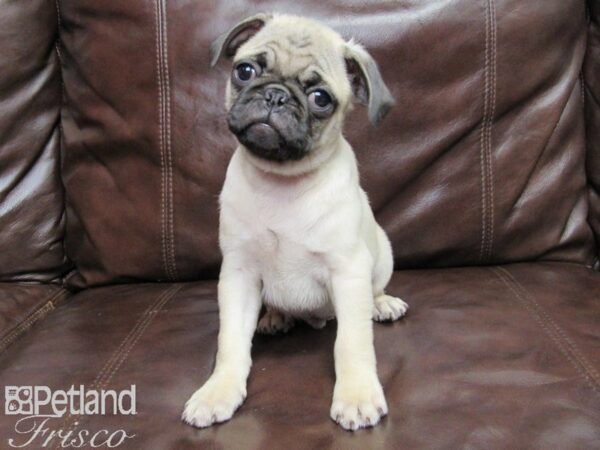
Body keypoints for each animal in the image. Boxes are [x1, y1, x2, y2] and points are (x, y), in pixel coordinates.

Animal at [183, 12, 408, 430]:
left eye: (320, 99)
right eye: (245, 71)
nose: (275, 95)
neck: (281, 184)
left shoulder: (348, 271)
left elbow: (352, 343)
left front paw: (356, 395)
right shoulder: (238, 274)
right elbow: (230, 342)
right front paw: (218, 391)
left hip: (382, 254)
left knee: (373, 292)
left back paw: (382, 305)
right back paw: (275, 317)